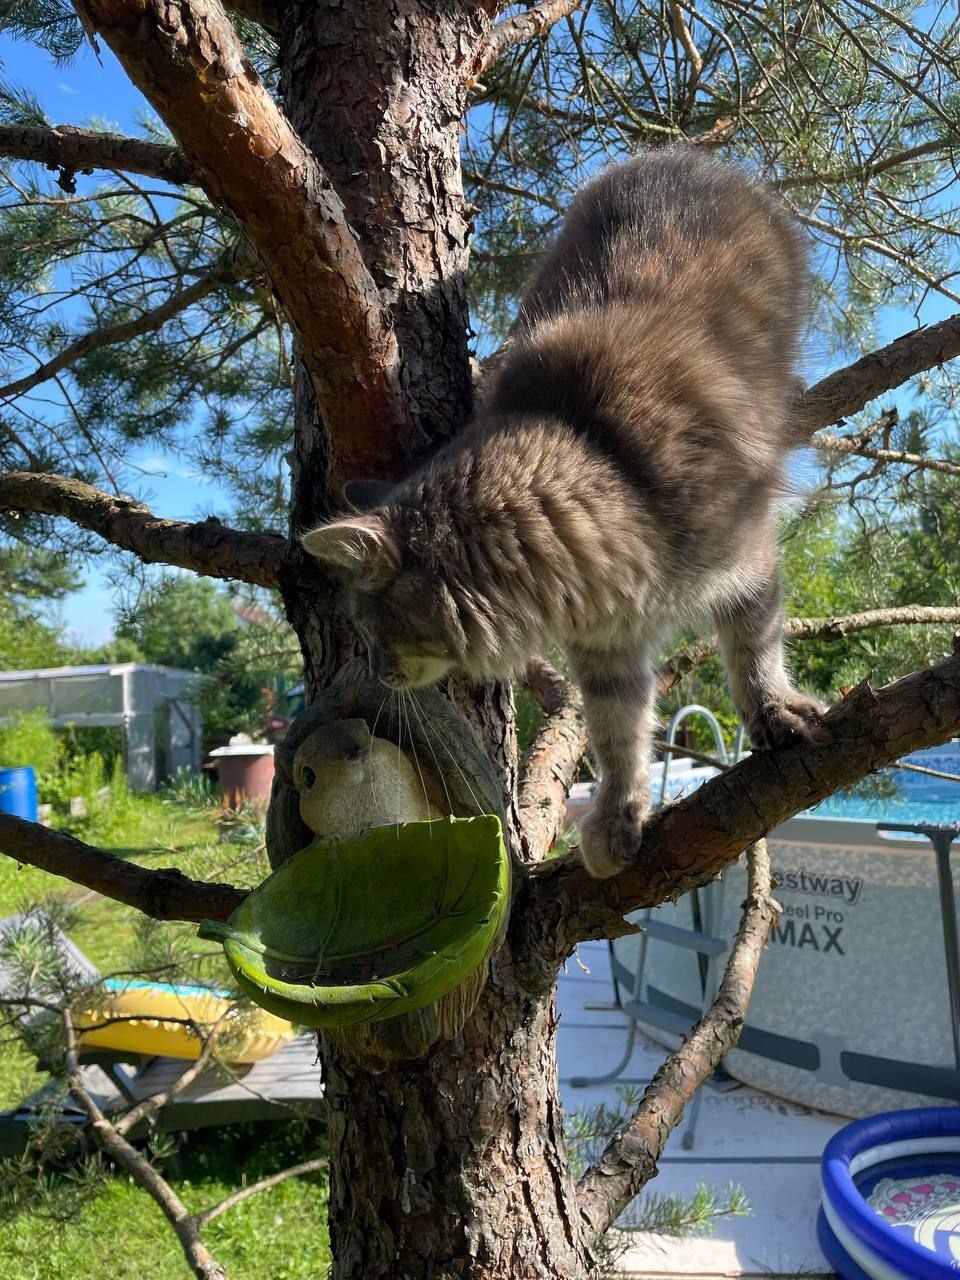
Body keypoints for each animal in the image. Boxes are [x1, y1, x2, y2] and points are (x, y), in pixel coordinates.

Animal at [305, 145, 829, 875]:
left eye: (374, 630)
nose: (379, 673)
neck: (602, 464)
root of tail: (674, 154)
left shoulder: (749, 565)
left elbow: (754, 653)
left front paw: (774, 713)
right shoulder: (607, 651)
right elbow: (618, 735)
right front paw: (617, 818)